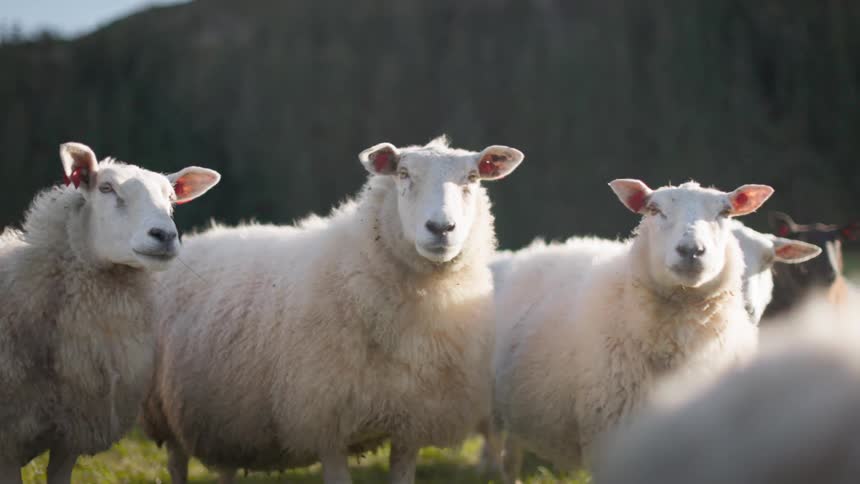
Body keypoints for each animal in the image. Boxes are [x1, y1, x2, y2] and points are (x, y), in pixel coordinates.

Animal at [141, 136, 524, 484]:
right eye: (403, 174)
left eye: (473, 177)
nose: (441, 228)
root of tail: (200, 237)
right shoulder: (326, 419)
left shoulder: (410, 422)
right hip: (165, 413)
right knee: (177, 464)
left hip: (226, 421)